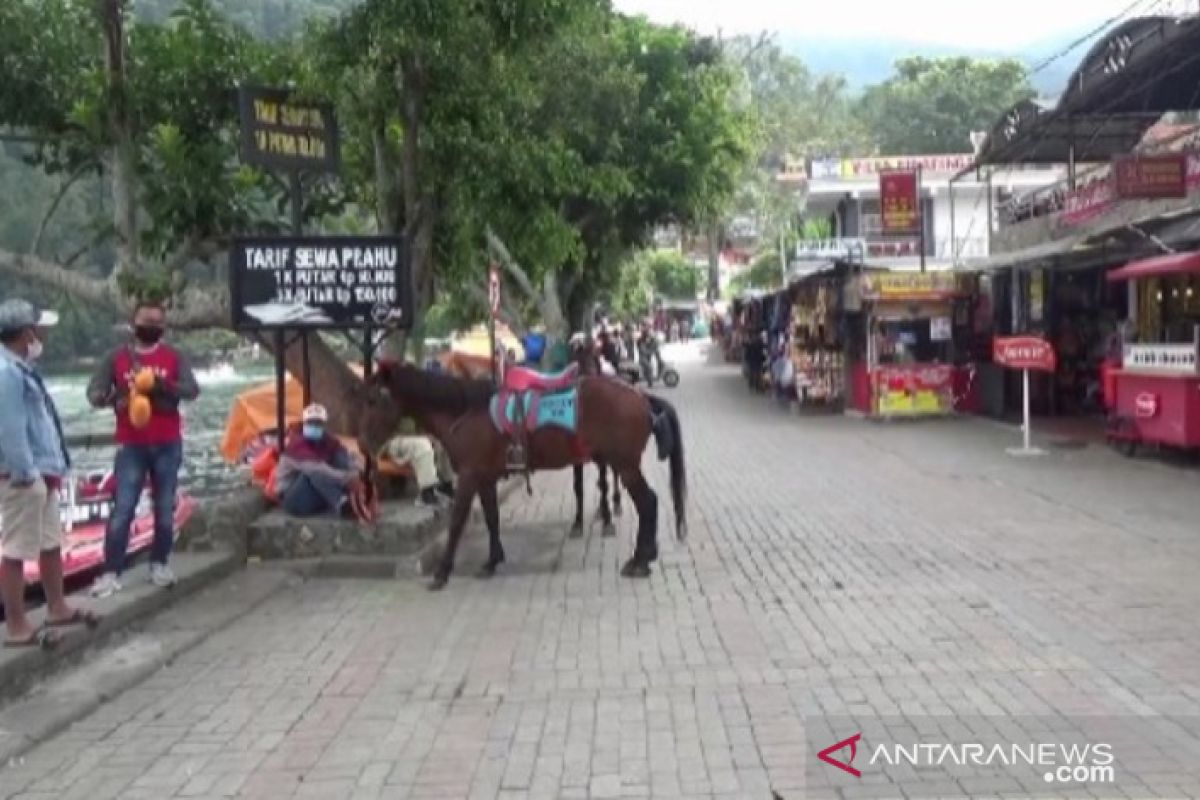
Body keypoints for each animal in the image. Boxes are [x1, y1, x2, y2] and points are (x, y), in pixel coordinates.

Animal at [357, 359, 686, 592]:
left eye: (374, 399)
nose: (361, 442)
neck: (465, 412)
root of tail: (640, 396)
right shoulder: (485, 477)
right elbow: (491, 517)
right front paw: (492, 561)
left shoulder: (469, 476)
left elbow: (457, 523)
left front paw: (441, 573)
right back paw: (644, 557)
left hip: (625, 465)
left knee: (648, 503)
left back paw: (640, 561)